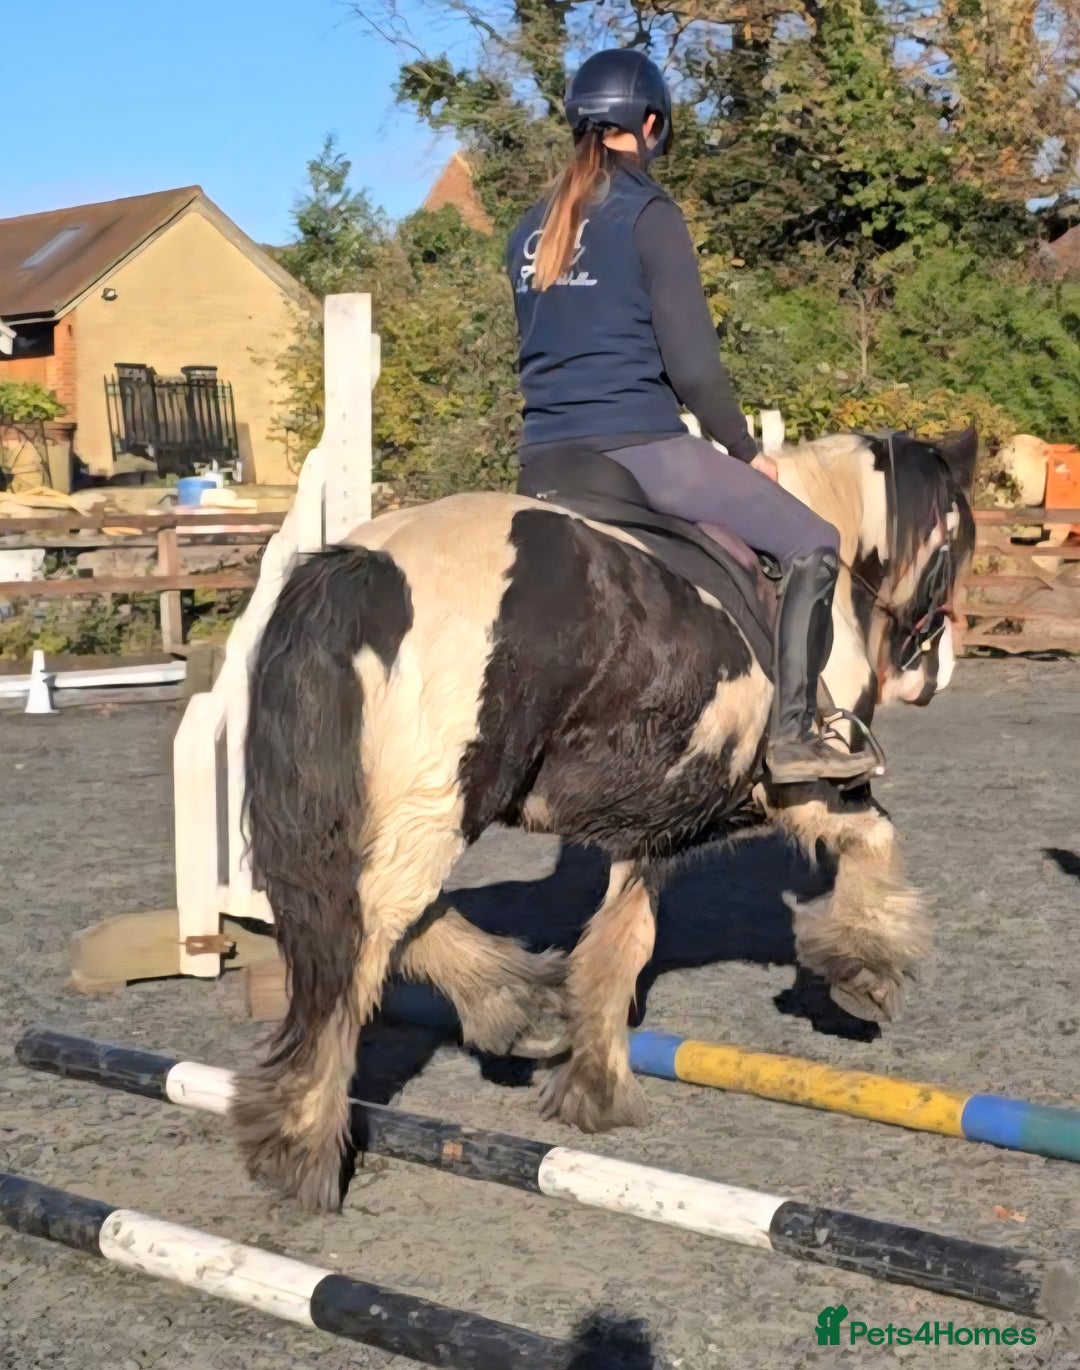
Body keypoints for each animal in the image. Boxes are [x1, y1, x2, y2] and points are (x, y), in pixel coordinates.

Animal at [233, 426, 976, 1212]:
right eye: (955, 547)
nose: (934, 675)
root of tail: (370, 566)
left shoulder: (652, 824)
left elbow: (622, 944)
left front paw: (596, 1085)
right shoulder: (804, 788)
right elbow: (877, 837)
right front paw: (866, 966)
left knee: (377, 917)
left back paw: (516, 1003)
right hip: (436, 802)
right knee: (368, 934)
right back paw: (306, 1143)